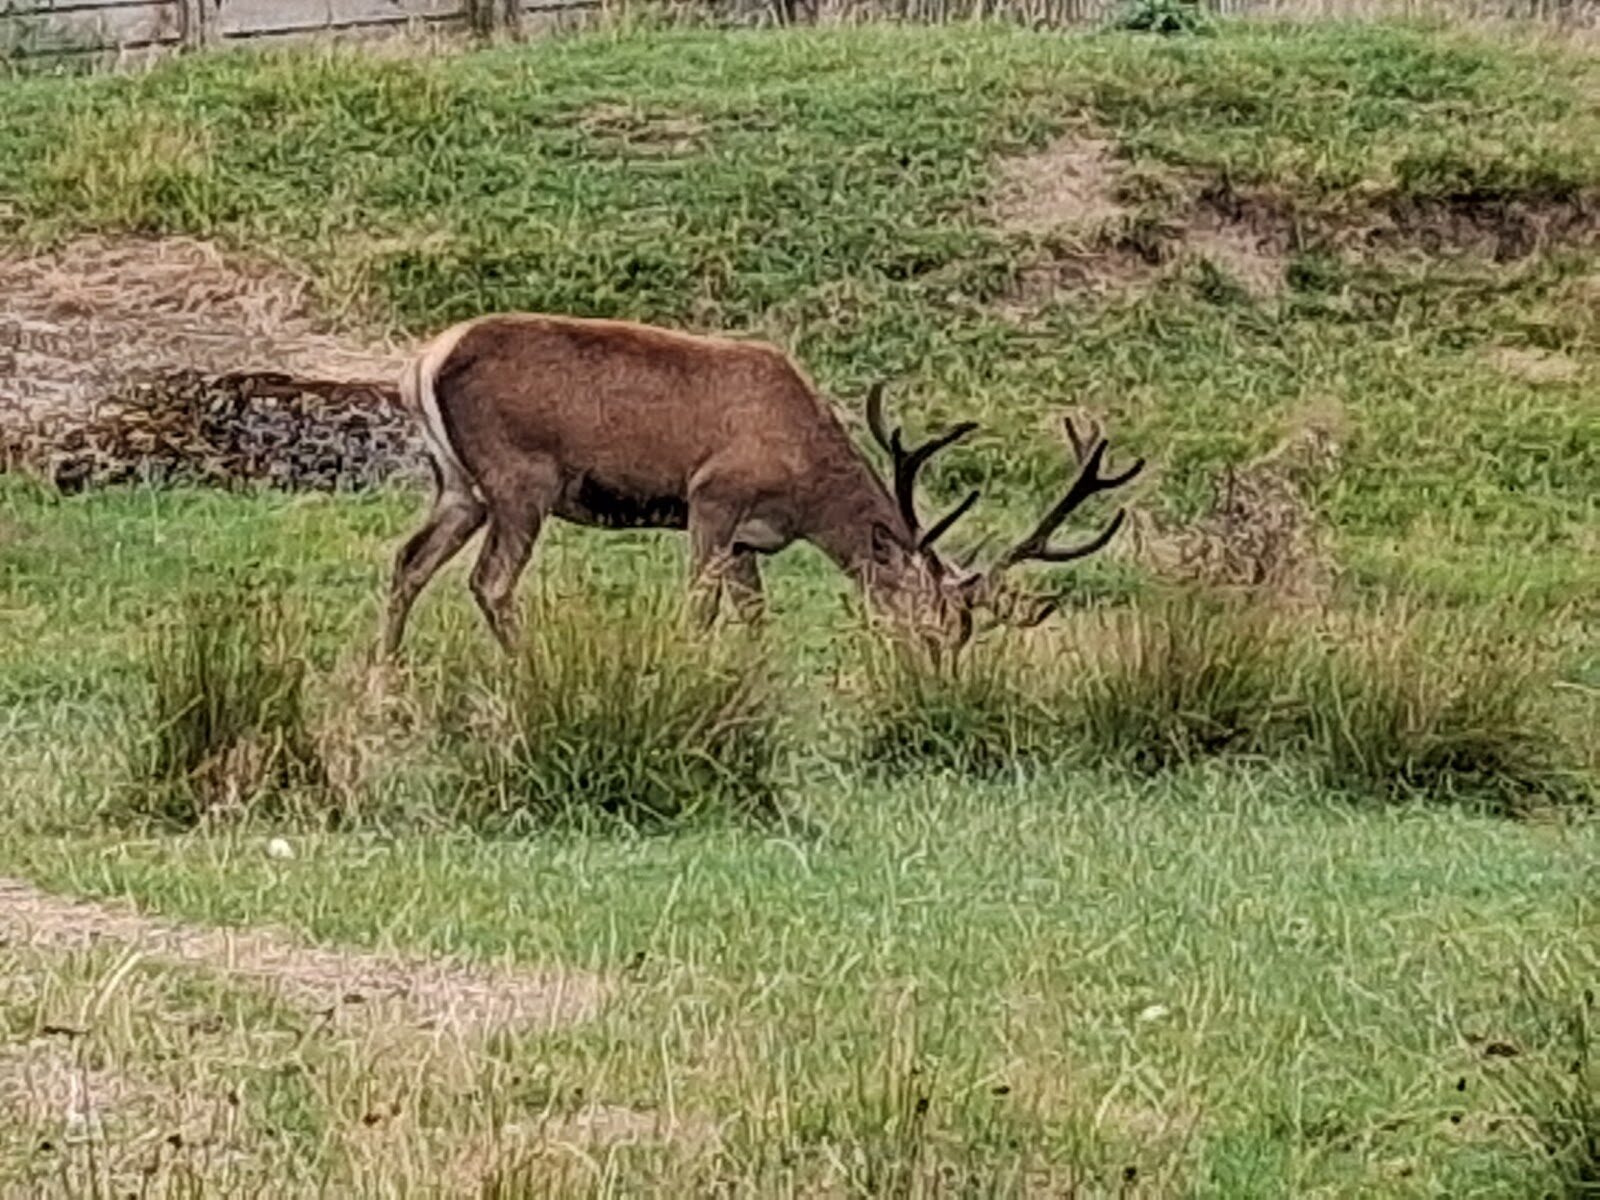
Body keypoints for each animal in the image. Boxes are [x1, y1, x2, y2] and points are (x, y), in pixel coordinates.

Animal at [379, 313, 1144, 659]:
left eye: (961, 636)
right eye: (930, 628)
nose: (935, 679)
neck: (806, 486)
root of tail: (424, 361)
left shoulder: (752, 539)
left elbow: (753, 619)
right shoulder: (712, 496)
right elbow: (700, 607)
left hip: (459, 486)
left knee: (408, 561)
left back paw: (384, 674)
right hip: (520, 479)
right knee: (490, 581)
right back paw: (527, 664)